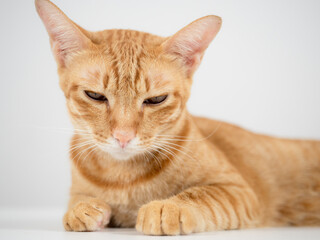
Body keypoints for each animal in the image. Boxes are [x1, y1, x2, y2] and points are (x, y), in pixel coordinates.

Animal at [35, 0, 320, 235]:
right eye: (95, 96)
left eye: (156, 100)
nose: (123, 136)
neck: (123, 178)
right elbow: (77, 199)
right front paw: (80, 208)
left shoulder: (238, 191)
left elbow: (200, 195)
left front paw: (167, 208)